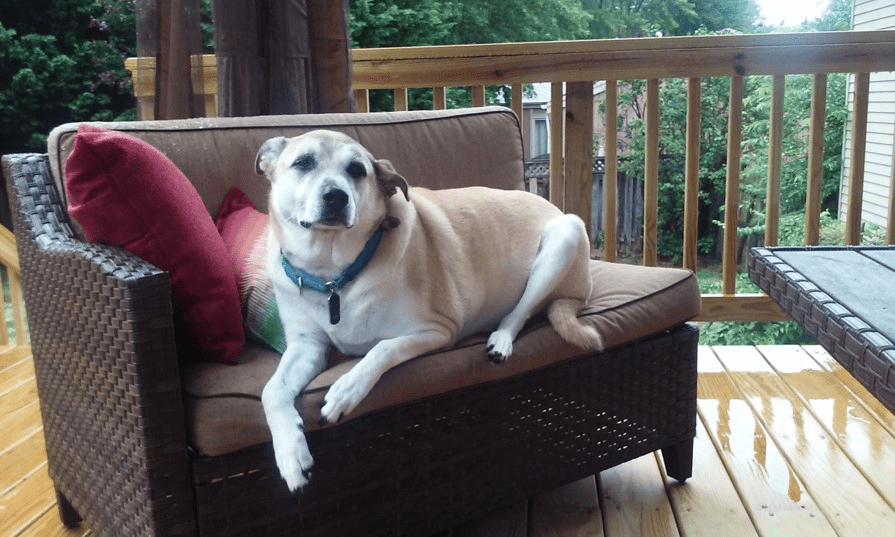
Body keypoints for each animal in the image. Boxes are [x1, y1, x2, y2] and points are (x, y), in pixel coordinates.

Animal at [254, 130, 600, 490]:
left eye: (357, 170)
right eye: (303, 162)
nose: (336, 196)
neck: (333, 273)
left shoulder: (437, 331)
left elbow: (382, 349)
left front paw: (345, 391)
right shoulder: (307, 345)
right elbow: (272, 390)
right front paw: (291, 455)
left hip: (566, 235)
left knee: (517, 315)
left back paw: (500, 340)